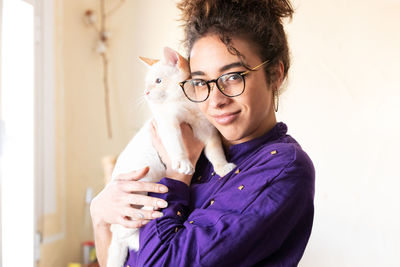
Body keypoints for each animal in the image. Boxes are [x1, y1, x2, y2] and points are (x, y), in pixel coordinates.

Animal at [107, 47, 238, 266]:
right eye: (147, 83)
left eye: (158, 80)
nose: (146, 92)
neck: (188, 104)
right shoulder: (168, 125)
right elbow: (177, 145)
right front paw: (183, 162)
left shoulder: (208, 131)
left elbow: (215, 151)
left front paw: (222, 167)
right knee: (127, 230)